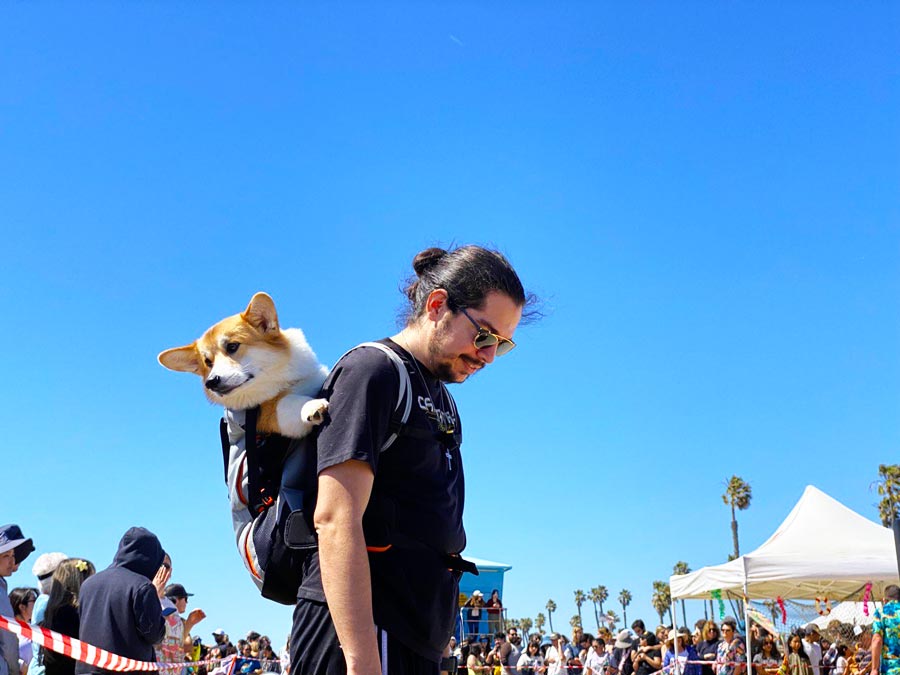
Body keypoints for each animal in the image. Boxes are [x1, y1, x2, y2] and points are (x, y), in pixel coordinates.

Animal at [159, 292, 330, 438]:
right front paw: (311, 406)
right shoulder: (266, 412)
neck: (284, 378)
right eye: (208, 362)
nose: (211, 382)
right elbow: (288, 402)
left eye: (232, 346)